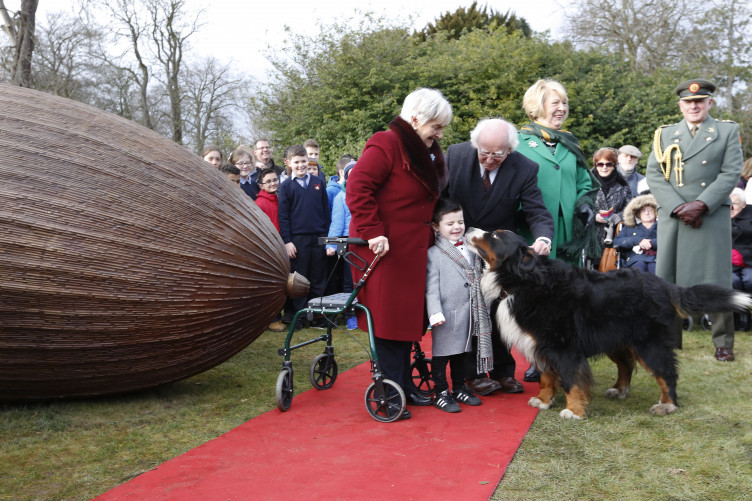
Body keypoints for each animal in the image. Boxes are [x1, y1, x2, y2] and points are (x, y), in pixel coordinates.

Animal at [464, 228, 752, 418]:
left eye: (495, 236)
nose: (469, 228)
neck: (522, 280)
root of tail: (665, 284)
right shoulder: (541, 345)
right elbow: (547, 376)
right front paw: (544, 401)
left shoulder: (562, 347)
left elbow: (570, 379)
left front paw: (574, 411)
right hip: (617, 339)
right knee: (626, 365)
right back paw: (619, 389)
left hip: (648, 343)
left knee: (666, 373)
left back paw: (667, 404)